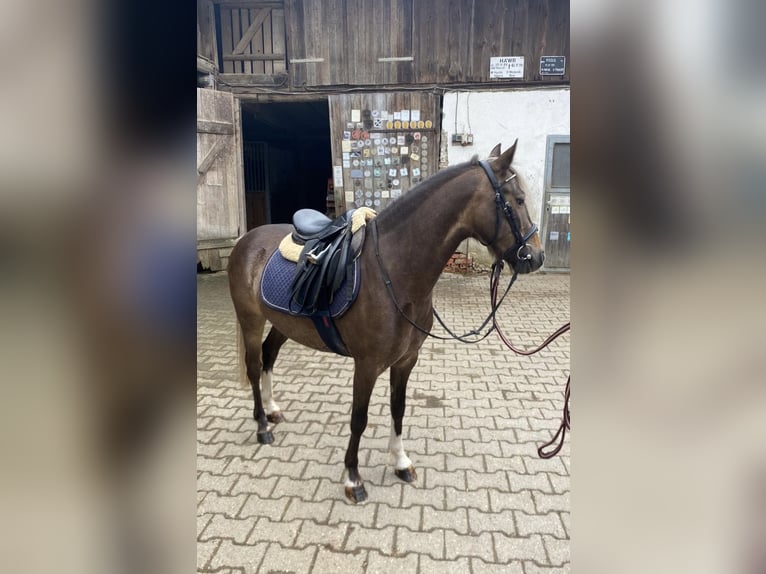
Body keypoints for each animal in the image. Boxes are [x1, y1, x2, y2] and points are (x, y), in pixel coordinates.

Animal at [227, 140, 544, 503]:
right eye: (517, 199)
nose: (536, 257)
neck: (393, 271)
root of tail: (246, 240)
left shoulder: (406, 360)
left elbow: (398, 408)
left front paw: (401, 462)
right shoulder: (366, 365)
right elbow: (359, 419)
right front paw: (353, 479)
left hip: (284, 324)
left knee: (269, 355)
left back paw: (273, 410)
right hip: (251, 320)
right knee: (254, 365)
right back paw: (262, 427)